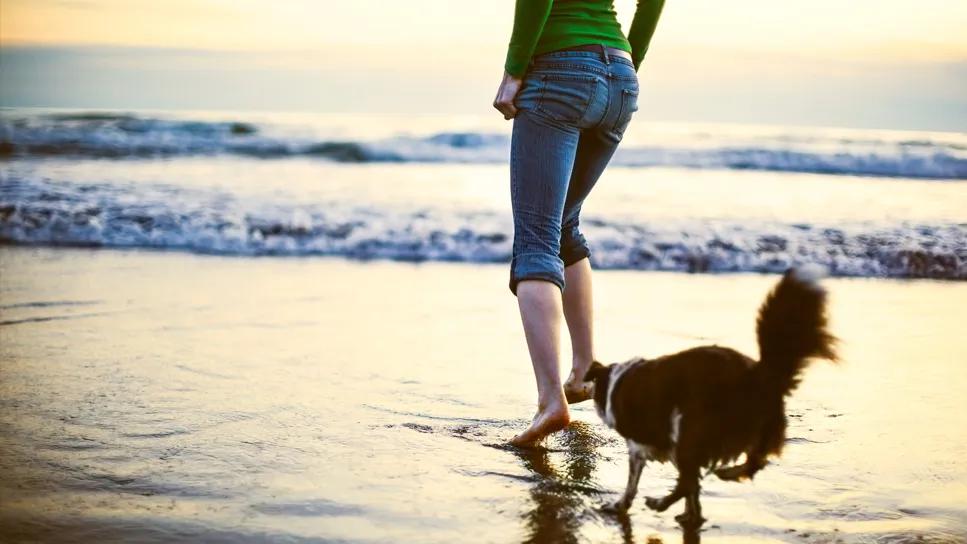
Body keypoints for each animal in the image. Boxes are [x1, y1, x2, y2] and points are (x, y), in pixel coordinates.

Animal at [584, 268, 840, 528]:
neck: (614, 381)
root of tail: (761, 373)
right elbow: (692, 491)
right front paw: (692, 516)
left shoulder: (641, 447)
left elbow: (637, 485)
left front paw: (620, 505)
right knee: (752, 463)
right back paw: (726, 474)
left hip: (689, 427)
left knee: (691, 480)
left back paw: (661, 502)